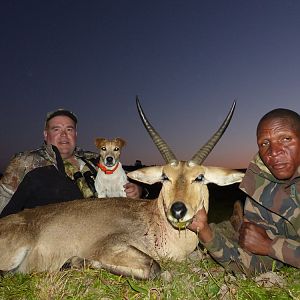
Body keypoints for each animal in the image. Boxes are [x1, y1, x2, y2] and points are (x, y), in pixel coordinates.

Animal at [0, 97, 244, 280]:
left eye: (199, 177)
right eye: (165, 177)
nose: (178, 210)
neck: (153, 220)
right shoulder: (110, 247)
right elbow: (155, 268)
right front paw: (74, 261)